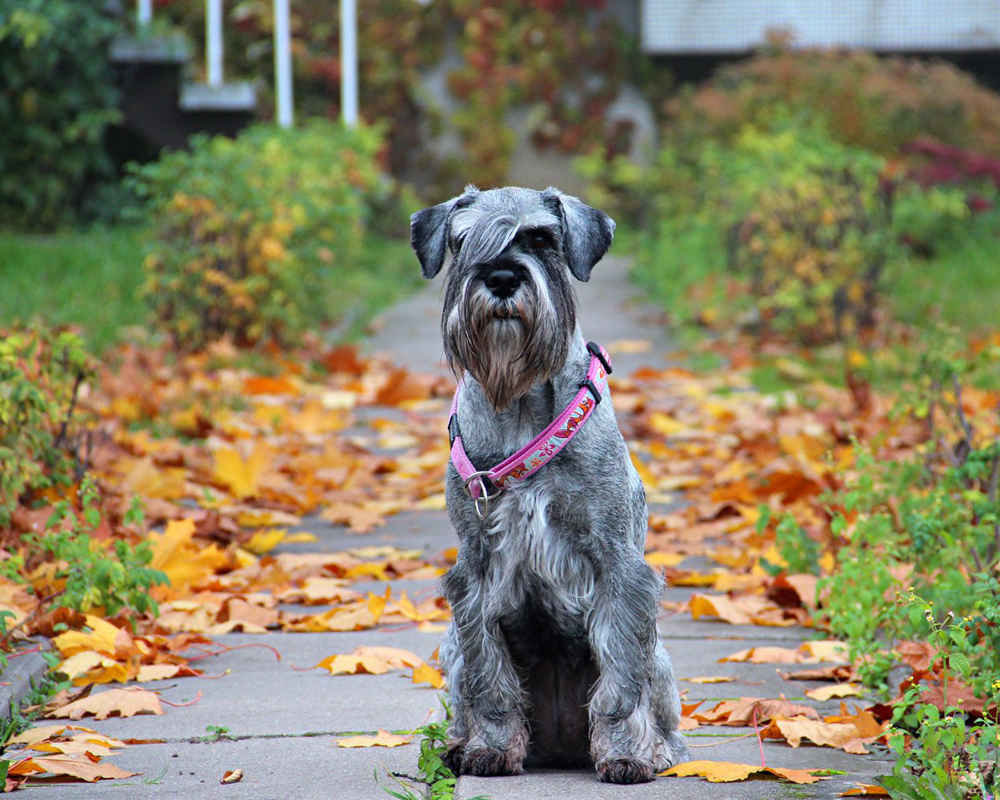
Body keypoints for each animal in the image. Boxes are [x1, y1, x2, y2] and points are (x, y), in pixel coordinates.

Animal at [408, 184, 688, 784]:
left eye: (541, 238)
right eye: (462, 240)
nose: (501, 278)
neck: (519, 402)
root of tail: (560, 747)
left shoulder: (617, 563)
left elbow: (619, 678)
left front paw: (626, 754)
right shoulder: (475, 571)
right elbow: (489, 678)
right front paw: (490, 748)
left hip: (660, 657)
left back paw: (657, 749)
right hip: (449, 646)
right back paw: (457, 746)